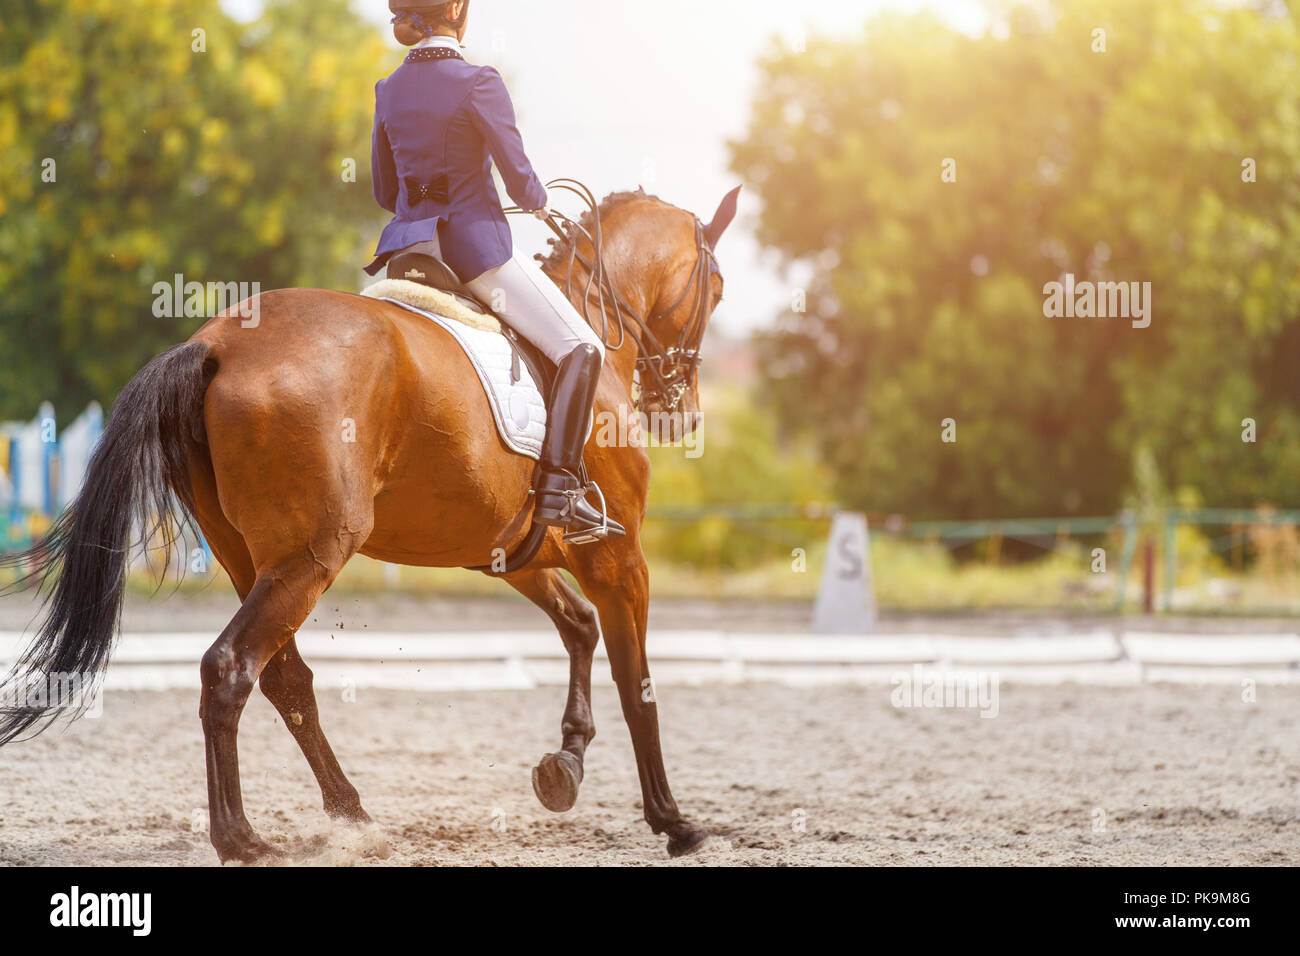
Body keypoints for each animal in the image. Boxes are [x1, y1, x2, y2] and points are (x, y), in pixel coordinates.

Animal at [0, 185, 739, 862]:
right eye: (718, 290)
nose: (681, 413)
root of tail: (214, 347)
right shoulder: (619, 557)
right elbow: (637, 683)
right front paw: (673, 822)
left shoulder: (515, 553)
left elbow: (580, 628)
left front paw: (567, 765)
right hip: (312, 556)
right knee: (231, 668)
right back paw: (242, 838)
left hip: (249, 559)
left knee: (284, 679)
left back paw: (351, 815)